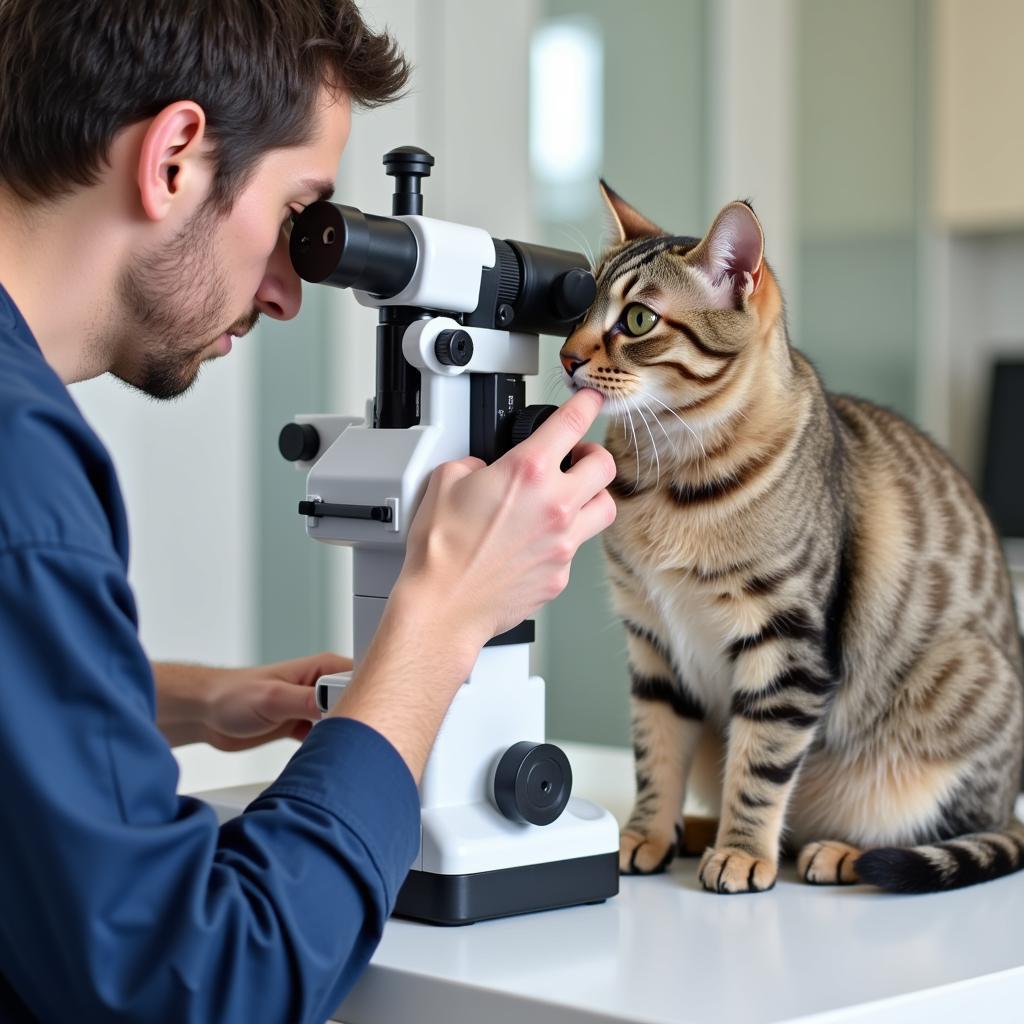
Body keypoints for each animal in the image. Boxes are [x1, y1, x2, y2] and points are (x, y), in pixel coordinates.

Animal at [561, 188, 1024, 892]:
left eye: (638, 319)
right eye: (580, 307)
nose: (566, 356)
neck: (669, 476)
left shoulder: (786, 642)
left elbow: (761, 766)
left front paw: (744, 852)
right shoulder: (652, 640)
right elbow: (655, 753)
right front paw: (646, 832)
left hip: (956, 707)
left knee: (937, 835)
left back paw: (832, 853)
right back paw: (694, 830)